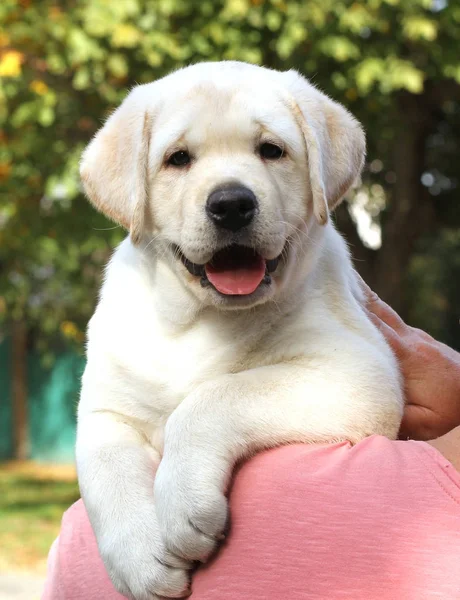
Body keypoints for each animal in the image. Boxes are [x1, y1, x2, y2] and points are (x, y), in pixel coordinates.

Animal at [76, 62, 402, 600]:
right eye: (178, 159)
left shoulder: (358, 372)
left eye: (271, 150)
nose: (231, 204)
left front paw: (182, 502)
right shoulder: (105, 407)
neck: (199, 318)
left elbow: (214, 398)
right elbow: (104, 469)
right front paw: (139, 559)